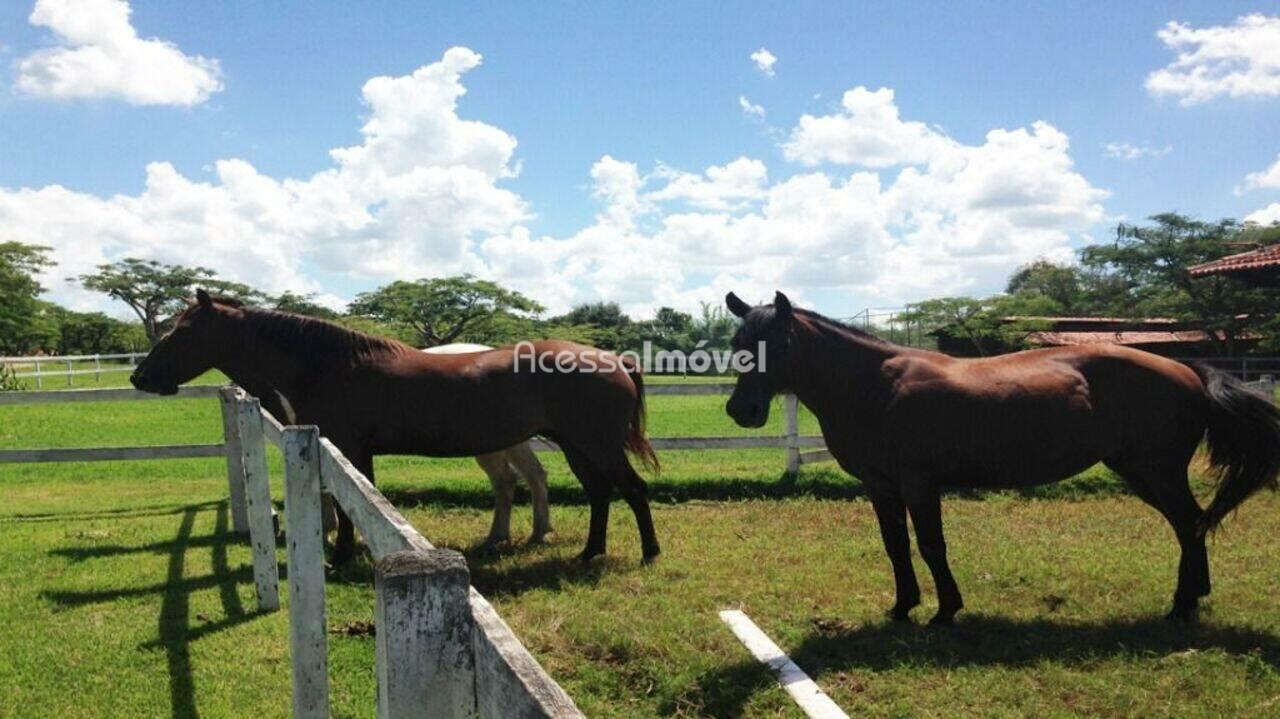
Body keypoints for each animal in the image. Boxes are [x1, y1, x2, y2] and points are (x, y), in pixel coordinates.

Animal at [732, 291, 1280, 621]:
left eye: (780, 341)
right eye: (738, 340)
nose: (742, 410)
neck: (875, 386)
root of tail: (1188, 370)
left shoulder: (919, 484)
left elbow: (931, 546)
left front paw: (945, 610)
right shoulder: (881, 486)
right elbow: (896, 546)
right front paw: (902, 607)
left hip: (1155, 472)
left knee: (1189, 525)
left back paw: (1182, 605)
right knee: (1192, 525)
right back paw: (1193, 598)